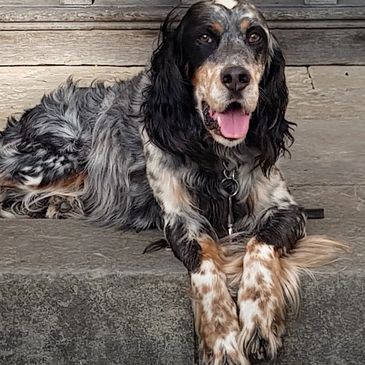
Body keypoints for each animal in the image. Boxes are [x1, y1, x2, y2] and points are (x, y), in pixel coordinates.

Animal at [0, 0, 344, 364]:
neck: (217, 155)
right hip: (59, 160)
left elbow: (258, 247)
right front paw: (221, 340)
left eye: (255, 37)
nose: (237, 77)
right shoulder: (181, 219)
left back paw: (58, 204)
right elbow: (206, 268)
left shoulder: (286, 209)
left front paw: (259, 321)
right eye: (205, 37)